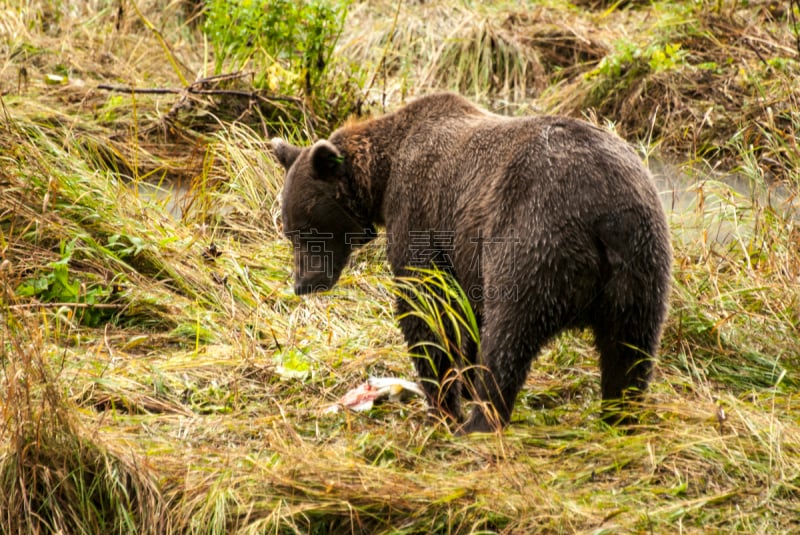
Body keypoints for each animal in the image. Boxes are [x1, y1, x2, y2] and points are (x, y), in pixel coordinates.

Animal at [272, 93, 672, 436]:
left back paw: (478, 422)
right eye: (290, 230)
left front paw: (443, 403)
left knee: (510, 334)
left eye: (307, 230)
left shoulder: (420, 210)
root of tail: (603, 216)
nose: (303, 283)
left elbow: (425, 306)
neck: (383, 177)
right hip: (642, 263)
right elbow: (466, 313)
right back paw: (619, 416)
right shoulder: (464, 252)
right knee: (630, 349)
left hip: (533, 238)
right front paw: (461, 382)